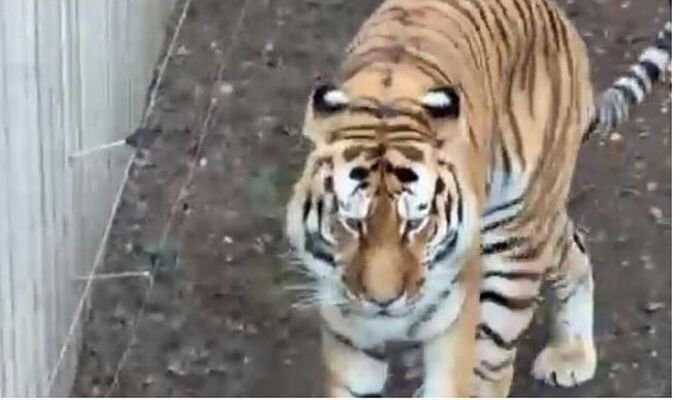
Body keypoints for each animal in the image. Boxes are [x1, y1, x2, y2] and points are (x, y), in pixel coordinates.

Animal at [284, 0, 671, 397]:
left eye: (416, 223)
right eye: (351, 221)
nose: (383, 302)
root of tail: (556, 16)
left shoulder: (453, 318)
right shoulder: (347, 327)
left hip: (516, 236)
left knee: (493, 358)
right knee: (573, 247)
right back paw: (570, 353)